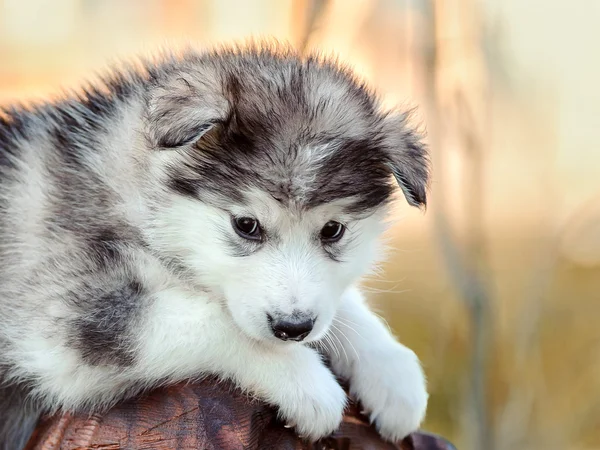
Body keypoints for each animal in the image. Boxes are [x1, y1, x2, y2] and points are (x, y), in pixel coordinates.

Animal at [0, 41, 432, 446]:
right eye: (247, 225)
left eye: (332, 230)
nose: (293, 328)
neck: (124, 193)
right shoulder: (64, 316)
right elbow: (218, 321)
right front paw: (307, 381)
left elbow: (340, 303)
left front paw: (391, 368)